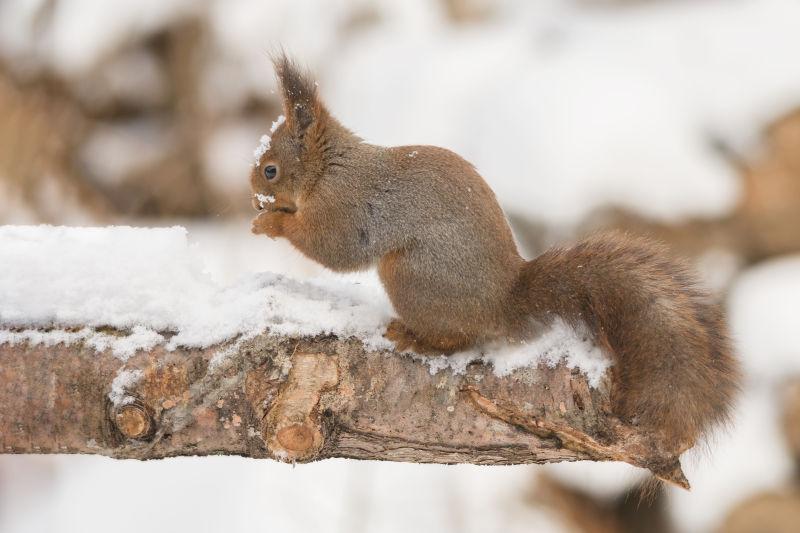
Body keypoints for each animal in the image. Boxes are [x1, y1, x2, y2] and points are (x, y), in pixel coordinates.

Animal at [253, 55, 740, 454]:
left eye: (270, 169)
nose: (254, 193)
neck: (328, 169)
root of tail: (503, 303)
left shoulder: (347, 208)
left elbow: (335, 249)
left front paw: (271, 223)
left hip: (410, 275)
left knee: (457, 340)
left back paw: (413, 337)